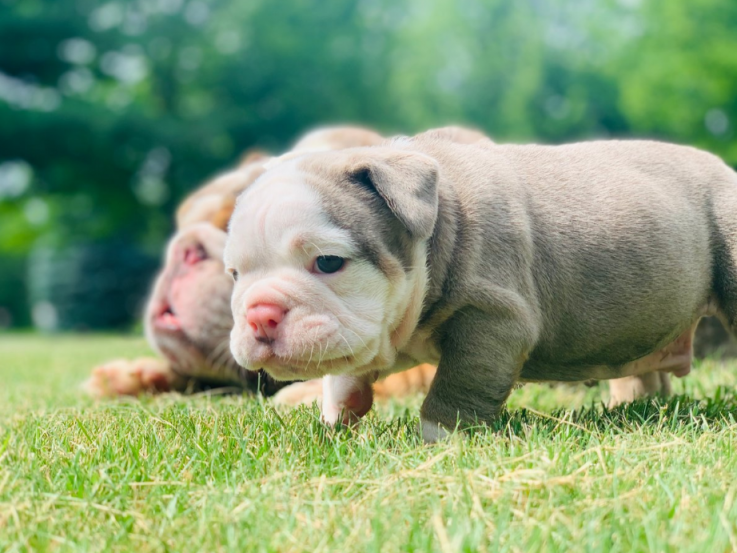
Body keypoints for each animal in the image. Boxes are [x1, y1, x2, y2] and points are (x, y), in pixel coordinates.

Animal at [226, 126, 736, 440]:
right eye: (234, 274)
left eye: (328, 262)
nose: (259, 313)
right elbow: (346, 372)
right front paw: (335, 417)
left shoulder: (494, 319)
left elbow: (458, 385)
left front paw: (439, 442)